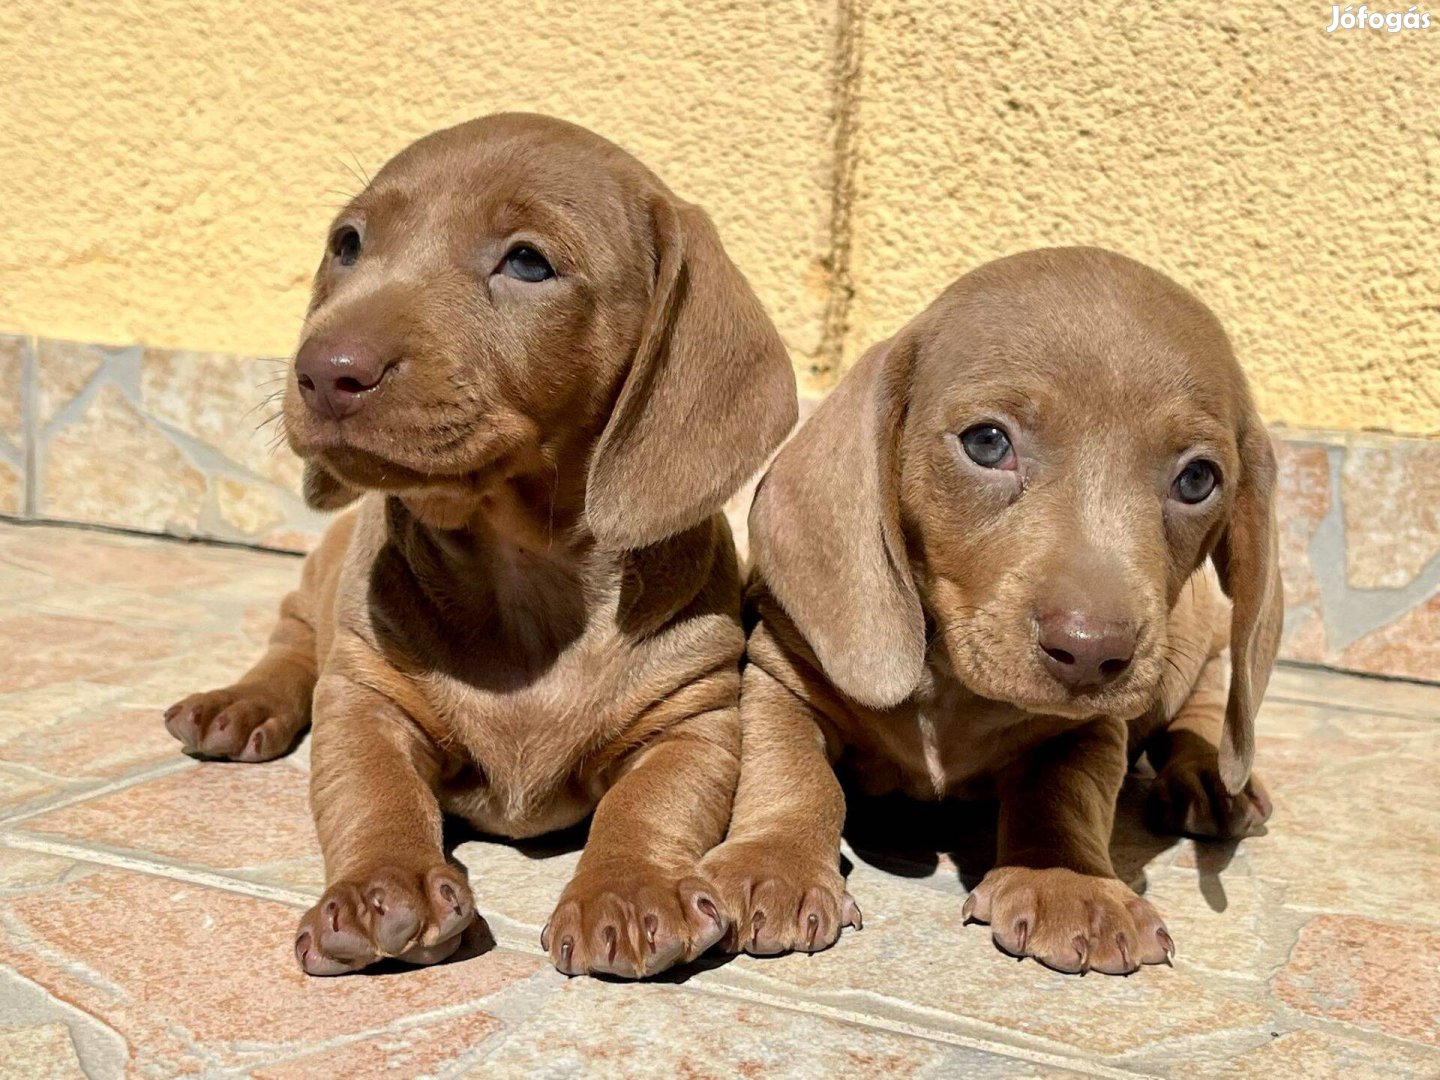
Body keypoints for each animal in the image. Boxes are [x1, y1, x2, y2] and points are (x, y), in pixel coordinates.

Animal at [169, 116, 806, 979]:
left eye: (529, 261)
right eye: (348, 244)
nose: (324, 372)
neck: (527, 577)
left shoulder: (693, 718)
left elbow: (649, 804)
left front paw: (629, 891)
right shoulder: (365, 699)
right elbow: (372, 792)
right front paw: (383, 886)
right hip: (317, 587)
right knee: (293, 648)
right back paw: (238, 705)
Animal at [705, 249, 1284, 979]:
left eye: (1198, 479)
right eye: (986, 442)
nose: (1091, 649)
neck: (950, 680)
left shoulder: (1090, 730)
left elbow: (1064, 792)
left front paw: (1067, 881)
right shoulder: (781, 672)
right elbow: (791, 768)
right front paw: (772, 862)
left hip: (1200, 638)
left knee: (1209, 700)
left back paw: (1211, 777)